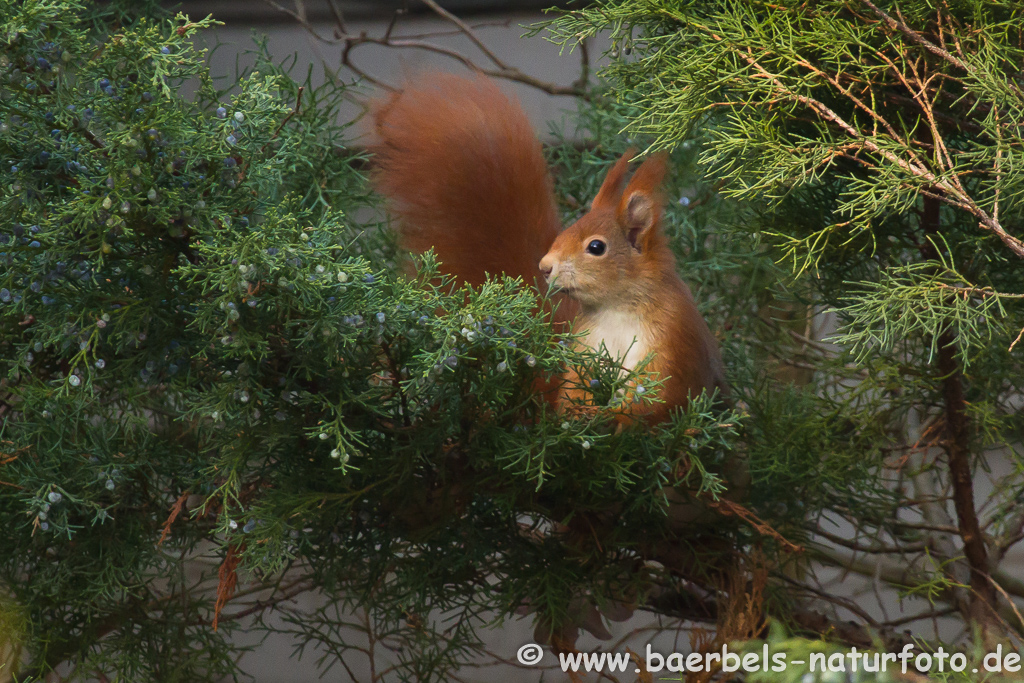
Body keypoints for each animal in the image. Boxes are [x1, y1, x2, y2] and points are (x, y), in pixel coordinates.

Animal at [372, 70, 724, 421]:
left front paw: (620, 417)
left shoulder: (670, 345)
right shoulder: (585, 353)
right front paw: (581, 413)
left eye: (596, 247)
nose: (544, 267)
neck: (616, 310)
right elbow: (571, 395)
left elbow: (657, 399)